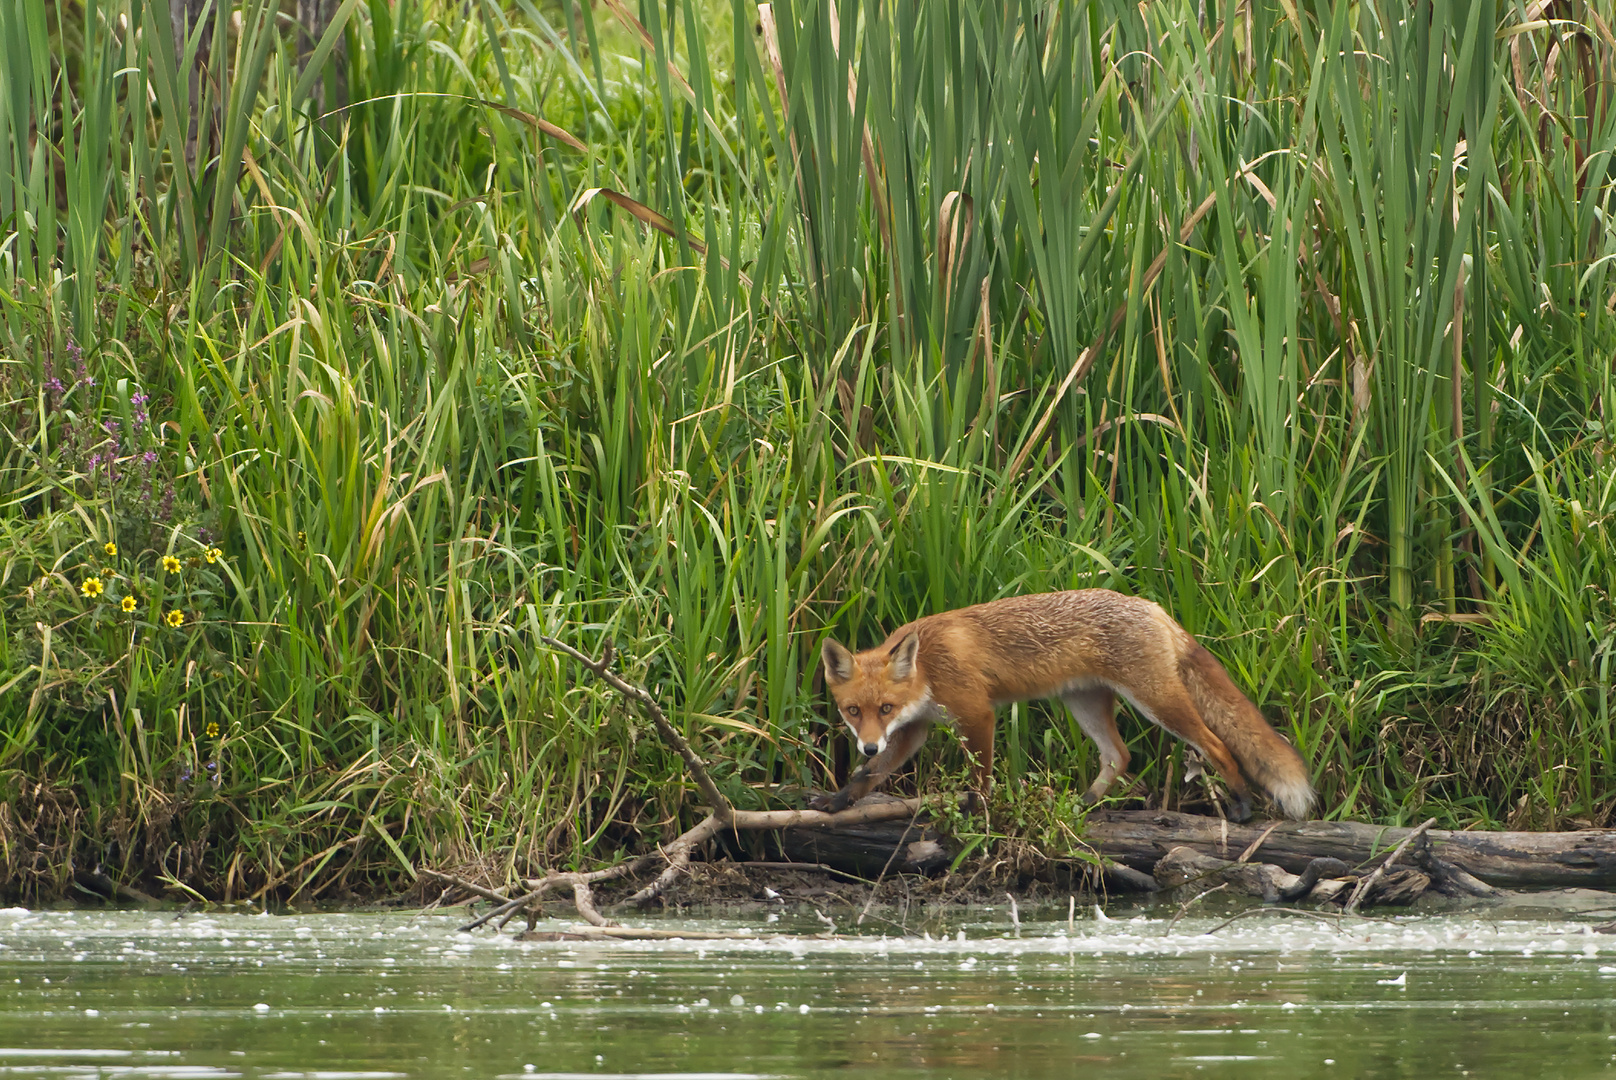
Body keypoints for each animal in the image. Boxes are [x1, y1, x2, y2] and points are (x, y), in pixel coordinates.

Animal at [820, 591, 1312, 818]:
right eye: (853, 711)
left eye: (885, 707)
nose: (867, 744)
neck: (929, 668)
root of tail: (1150, 605)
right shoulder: (915, 729)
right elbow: (870, 775)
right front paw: (839, 801)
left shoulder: (977, 714)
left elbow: (981, 779)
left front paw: (979, 813)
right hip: (1085, 704)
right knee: (1120, 755)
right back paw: (1085, 803)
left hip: (1158, 702)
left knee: (1217, 744)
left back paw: (1242, 803)